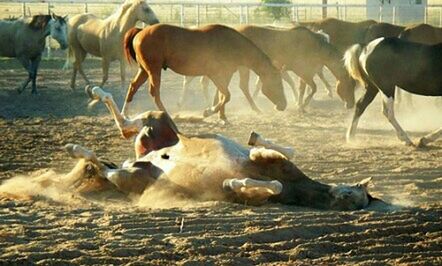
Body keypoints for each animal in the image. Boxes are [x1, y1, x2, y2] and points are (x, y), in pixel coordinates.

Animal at [58, 85, 382, 210]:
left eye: (353, 198)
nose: (342, 196)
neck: (297, 186)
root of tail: (142, 158)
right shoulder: (273, 160)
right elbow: (273, 151)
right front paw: (253, 140)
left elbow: (267, 185)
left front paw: (233, 181)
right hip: (159, 121)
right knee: (125, 124)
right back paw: (95, 93)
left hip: (130, 176)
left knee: (105, 163)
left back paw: (77, 149)